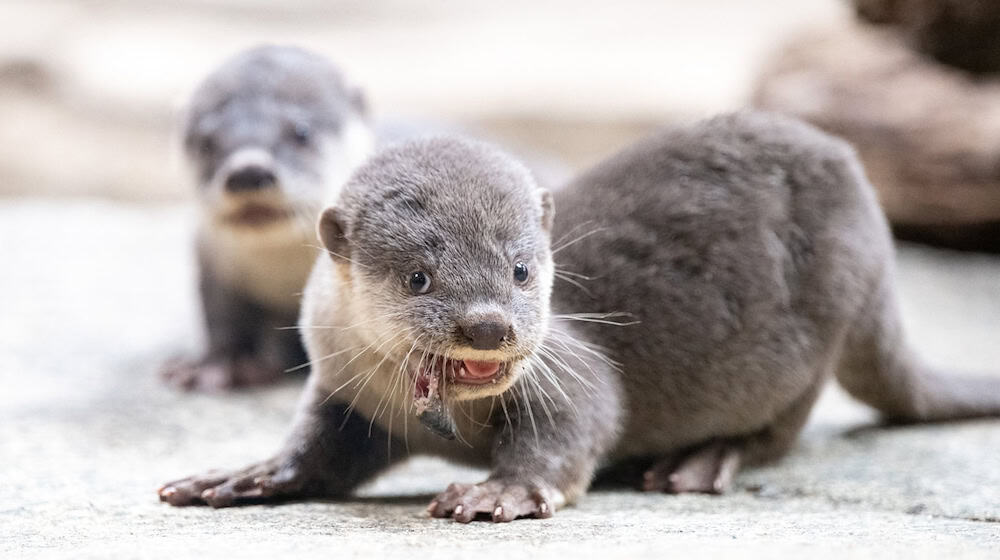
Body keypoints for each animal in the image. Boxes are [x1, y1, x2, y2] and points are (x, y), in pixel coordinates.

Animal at [159, 112, 1000, 521]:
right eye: (418, 277)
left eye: (522, 269)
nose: (489, 326)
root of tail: (878, 230)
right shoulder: (345, 390)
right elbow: (321, 446)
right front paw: (248, 473)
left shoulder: (564, 367)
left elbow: (580, 421)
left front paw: (499, 492)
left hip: (822, 322)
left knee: (781, 429)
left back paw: (699, 461)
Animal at [161, 45, 374, 390]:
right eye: (206, 142)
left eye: (302, 132)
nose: (248, 172)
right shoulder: (213, 267)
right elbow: (221, 318)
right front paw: (216, 363)